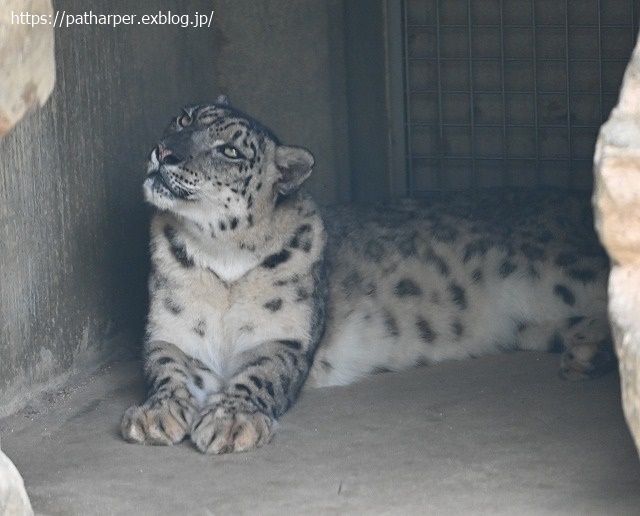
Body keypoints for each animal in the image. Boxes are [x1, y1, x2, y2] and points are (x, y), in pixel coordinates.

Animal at [121, 94, 616, 454]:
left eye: (229, 150)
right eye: (183, 118)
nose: (164, 152)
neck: (221, 259)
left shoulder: (284, 339)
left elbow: (260, 374)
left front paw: (230, 420)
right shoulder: (171, 333)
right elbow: (166, 368)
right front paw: (155, 414)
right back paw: (587, 354)